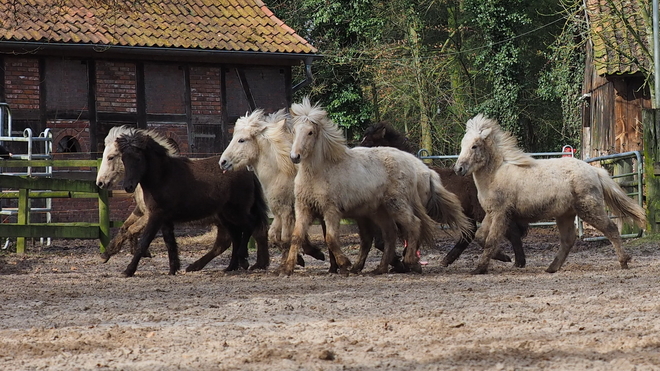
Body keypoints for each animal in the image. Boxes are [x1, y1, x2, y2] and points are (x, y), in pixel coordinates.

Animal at [94, 126, 268, 272]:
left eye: (111, 157)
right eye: (123, 158)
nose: (100, 183)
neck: (163, 176)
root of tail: (248, 172)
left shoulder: (153, 215)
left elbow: (139, 235)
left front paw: (130, 266)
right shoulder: (156, 215)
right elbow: (163, 240)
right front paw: (172, 268)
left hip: (235, 212)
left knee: (253, 228)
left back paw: (251, 262)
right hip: (225, 217)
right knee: (230, 239)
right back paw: (224, 266)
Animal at [286, 98, 472, 276]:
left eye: (310, 132)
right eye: (294, 131)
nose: (295, 156)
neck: (320, 171)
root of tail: (424, 170)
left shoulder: (331, 210)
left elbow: (331, 239)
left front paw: (344, 265)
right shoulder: (304, 208)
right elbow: (296, 236)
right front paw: (286, 267)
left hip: (396, 205)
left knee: (414, 225)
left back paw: (410, 262)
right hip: (380, 212)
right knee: (390, 234)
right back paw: (382, 267)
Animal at [358, 123, 528, 270]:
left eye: (369, 142)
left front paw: (404, 263)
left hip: (483, 211)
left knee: (509, 230)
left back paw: (515, 260)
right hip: (469, 213)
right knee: (469, 234)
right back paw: (447, 260)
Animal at [456, 115, 648, 274]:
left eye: (474, 146)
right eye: (462, 145)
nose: (458, 169)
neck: (496, 174)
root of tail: (594, 171)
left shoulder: (501, 214)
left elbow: (491, 240)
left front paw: (480, 268)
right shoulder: (492, 213)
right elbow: (480, 237)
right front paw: (504, 257)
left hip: (590, 209)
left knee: (611, 229)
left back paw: (624, 261)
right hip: (566, 215)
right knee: (568, 240)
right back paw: (551, 267)